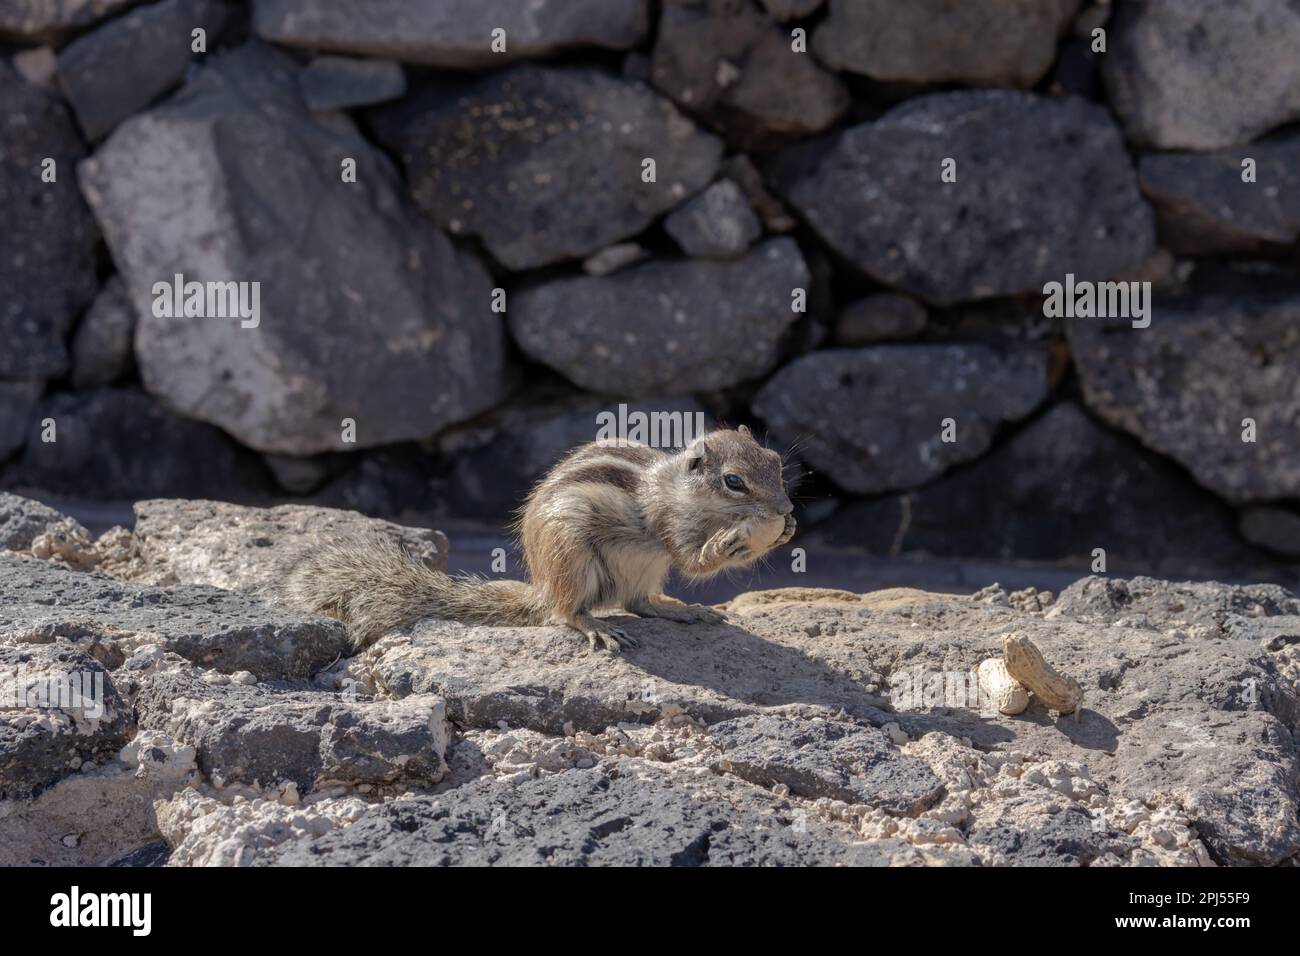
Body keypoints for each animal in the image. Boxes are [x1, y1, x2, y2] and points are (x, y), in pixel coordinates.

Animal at [283, 424, 790, 650]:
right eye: (733, 482)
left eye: (776, 461)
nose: (786, 510)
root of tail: (542, 586)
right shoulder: (668, 522)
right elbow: (692, 561)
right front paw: (727, 543)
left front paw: (784, 534)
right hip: (572, 555)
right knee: (567, 612)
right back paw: (594, 625)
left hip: (643, 570)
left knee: (638, 602)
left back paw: (683, 611)